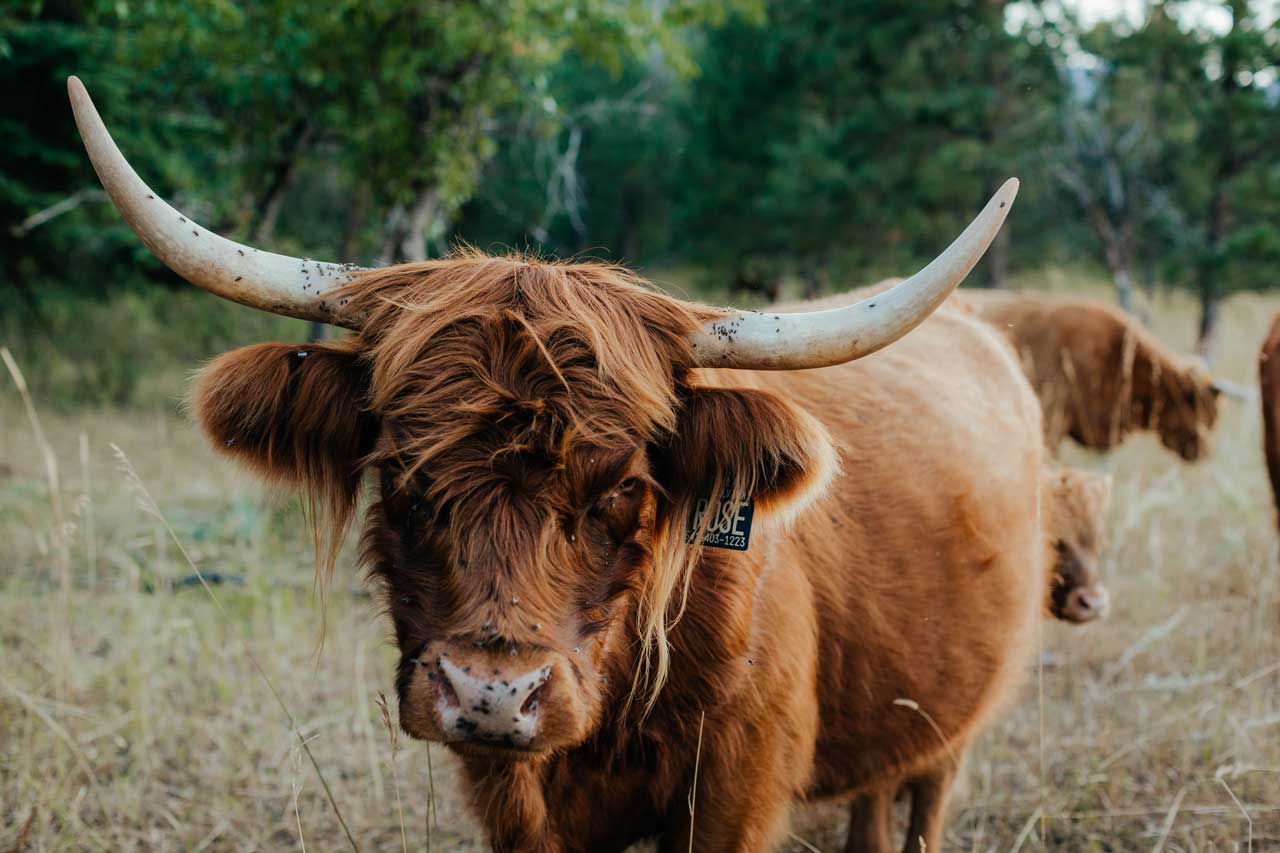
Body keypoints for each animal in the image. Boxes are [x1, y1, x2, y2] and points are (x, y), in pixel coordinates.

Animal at [70, 76, 1044, 845]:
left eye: (622, 488)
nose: (493, 695)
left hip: (955, 721)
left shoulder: (736, 786)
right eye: (403, 476)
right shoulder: (510, 797)